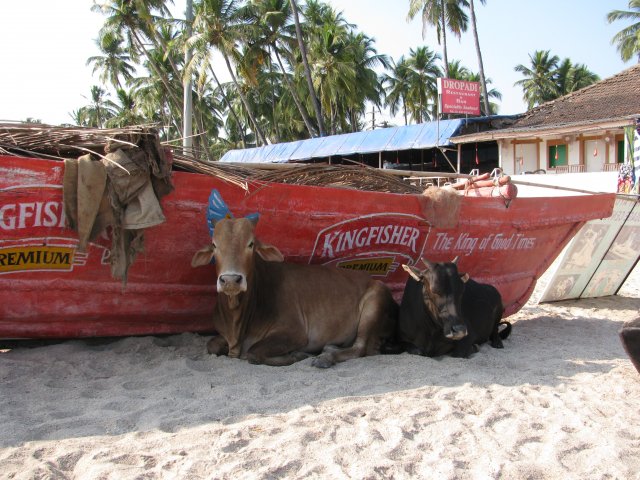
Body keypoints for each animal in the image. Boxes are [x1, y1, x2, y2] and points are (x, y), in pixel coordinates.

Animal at [192, 217, 398, 368]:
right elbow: (211, 345)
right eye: (214, 245)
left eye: (250, 244)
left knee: (361, 347)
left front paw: (296, 355)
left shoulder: (294, 332)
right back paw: (329, 348)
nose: (230, 280)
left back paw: (325, 358)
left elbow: (253, 353)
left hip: (374, 302)